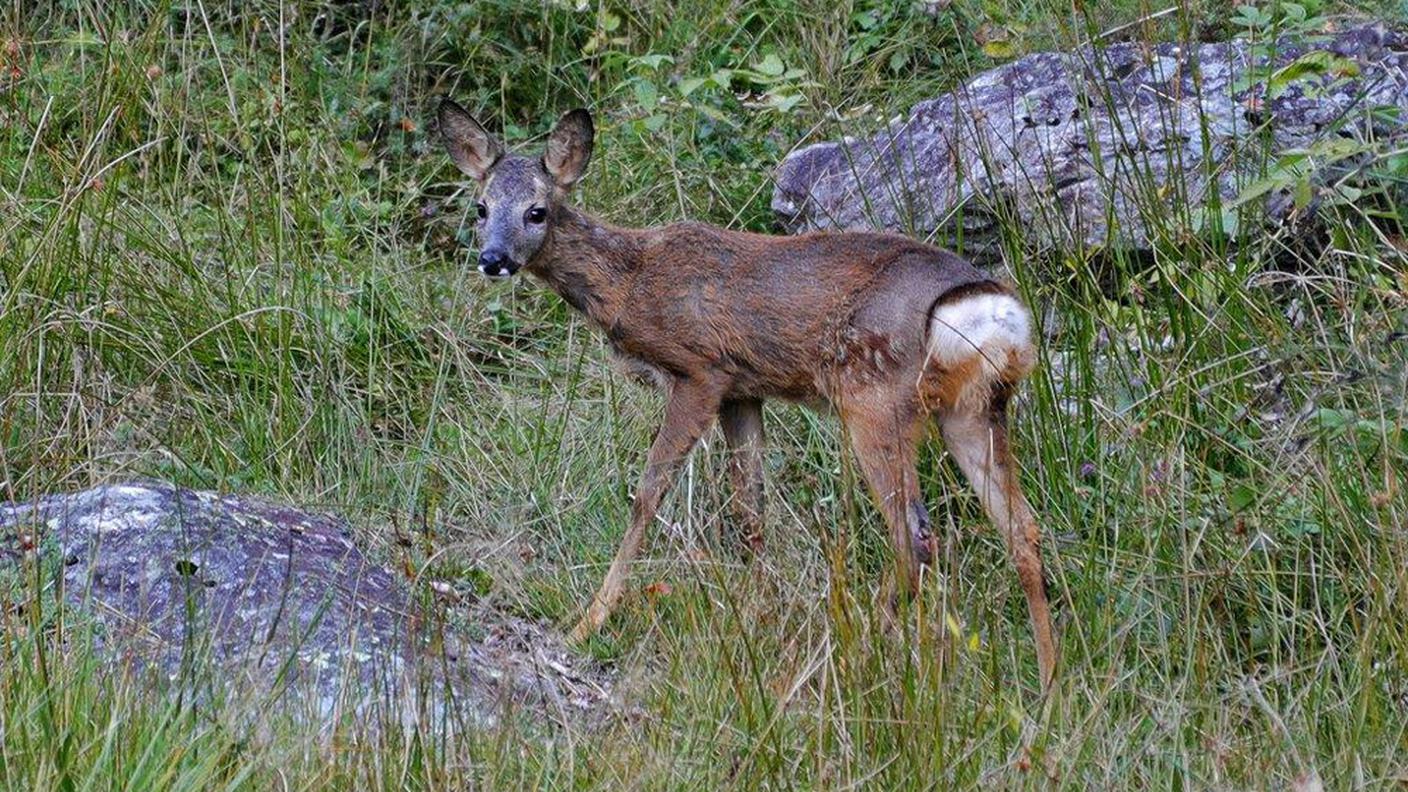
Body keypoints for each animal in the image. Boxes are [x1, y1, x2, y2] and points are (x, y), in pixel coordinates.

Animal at [439, 98, 1058, 682]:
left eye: (536, 211)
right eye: (481, 207)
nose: (492, 260)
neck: (631, 284)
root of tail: (994, 312)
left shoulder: (701, 370)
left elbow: (648, 495)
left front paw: (587, 623)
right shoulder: (744, 388)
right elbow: (750, 508)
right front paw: (758, 611)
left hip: (876, 396)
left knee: (916, 536)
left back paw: (863, 646)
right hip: (972, 410)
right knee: (1023, 530)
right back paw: (1049, 686)